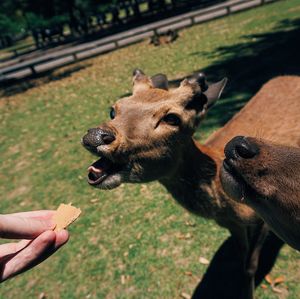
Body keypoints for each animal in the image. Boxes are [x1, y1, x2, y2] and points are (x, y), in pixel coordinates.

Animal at [82, 71, 300, 299]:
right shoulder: (232, 224)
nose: (94, 136)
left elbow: (250, 266)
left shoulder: (262, 219)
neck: (226, 205)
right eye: (113, 110)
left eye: (172, 118)